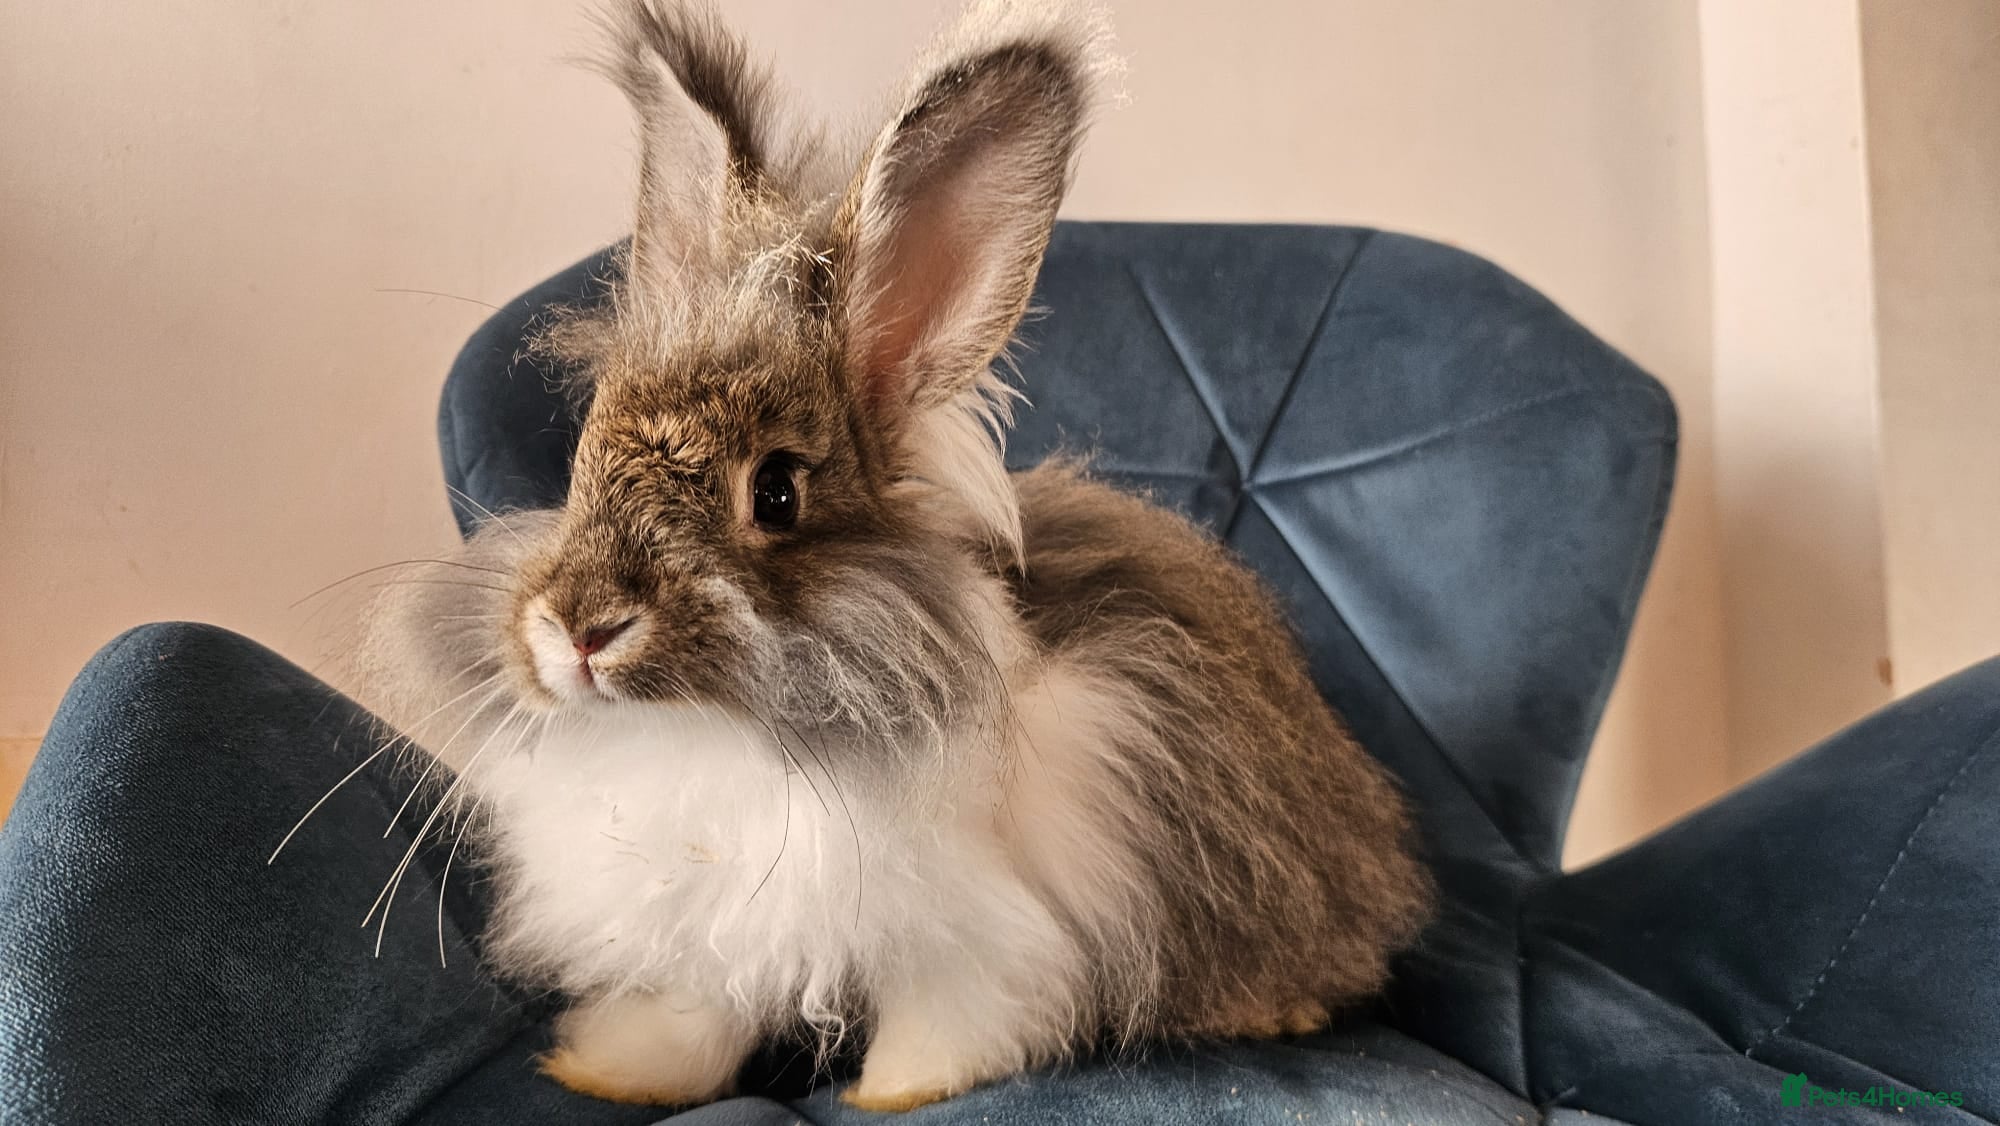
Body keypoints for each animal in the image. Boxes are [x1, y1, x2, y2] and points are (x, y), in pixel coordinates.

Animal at [355, 0, 1432, 1111]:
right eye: (578, 464)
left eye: (775, 493)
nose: (578, 628)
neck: (707, 731)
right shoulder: (708, 936)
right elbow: (690, 1021)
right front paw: (609, 1073)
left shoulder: (982, 935)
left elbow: (952, 1021)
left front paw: (893, 1093)